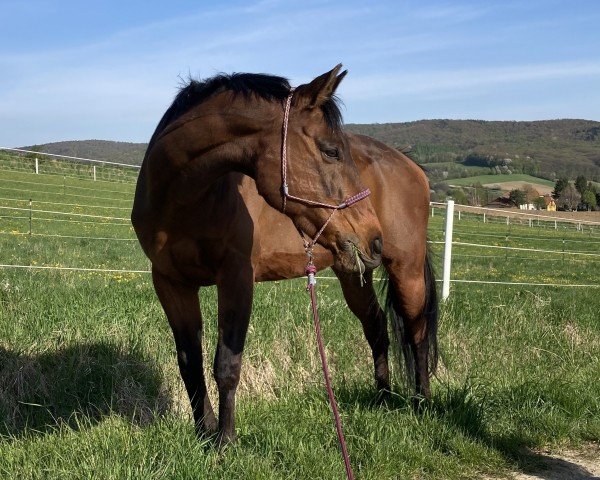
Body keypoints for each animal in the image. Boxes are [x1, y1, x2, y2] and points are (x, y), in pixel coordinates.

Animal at [131, 65, 384, 444]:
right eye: (331, 151)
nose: (374, 238)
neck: (184, 203)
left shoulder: (237, 279)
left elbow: (226, 365)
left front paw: (225, 442)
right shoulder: (170, 282)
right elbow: (189, 362)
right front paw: (204, 432)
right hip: (353, 272)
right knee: (378, 324)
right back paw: (386, 398)